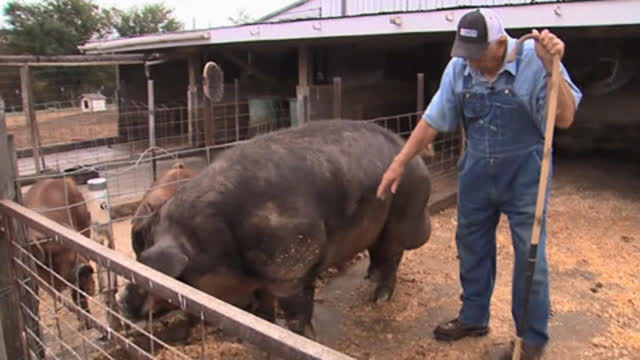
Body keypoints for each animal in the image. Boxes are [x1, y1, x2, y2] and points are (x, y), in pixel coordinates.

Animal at [119, 119, 430, 336]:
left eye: (145, 265)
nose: (122, 301)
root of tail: (414, 156)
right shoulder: (260, 277)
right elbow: (262, 304)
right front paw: (261, 326)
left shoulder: (291, 264)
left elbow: (296, 310)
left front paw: (300, 336)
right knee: (379, 252)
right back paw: (368, 278)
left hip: (403, 210)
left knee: (392, 256)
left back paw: (378, 299)